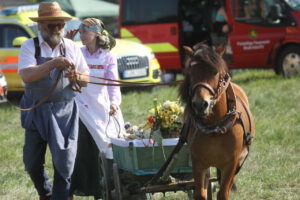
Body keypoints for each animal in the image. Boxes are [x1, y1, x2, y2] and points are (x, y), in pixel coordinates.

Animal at [179, 43, 254, 199]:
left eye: (214, 72)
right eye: (191, 72)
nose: (200, 104)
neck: (215, 126)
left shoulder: (231, 163)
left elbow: (223, 193)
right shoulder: (198, 162)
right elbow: (200, 194)